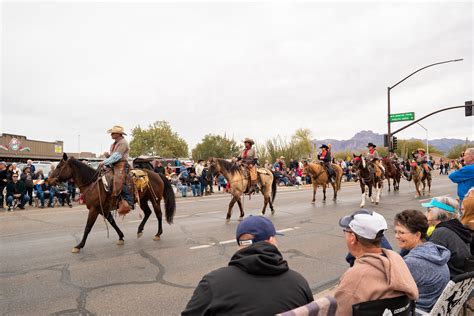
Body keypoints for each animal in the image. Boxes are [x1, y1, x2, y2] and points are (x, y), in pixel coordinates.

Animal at [48, 152, 176, 253]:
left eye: (59, 166)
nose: (48, 181)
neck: (93, 184)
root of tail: (157, 174)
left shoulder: (94, 209)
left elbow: (88, 227)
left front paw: (79, 246)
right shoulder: (103, 209)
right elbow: (112, 222)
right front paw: (121, 237)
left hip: (155, 200)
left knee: (158, 214)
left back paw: (158, 234)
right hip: (143, 200)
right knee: (148, 213)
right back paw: (140, 230)